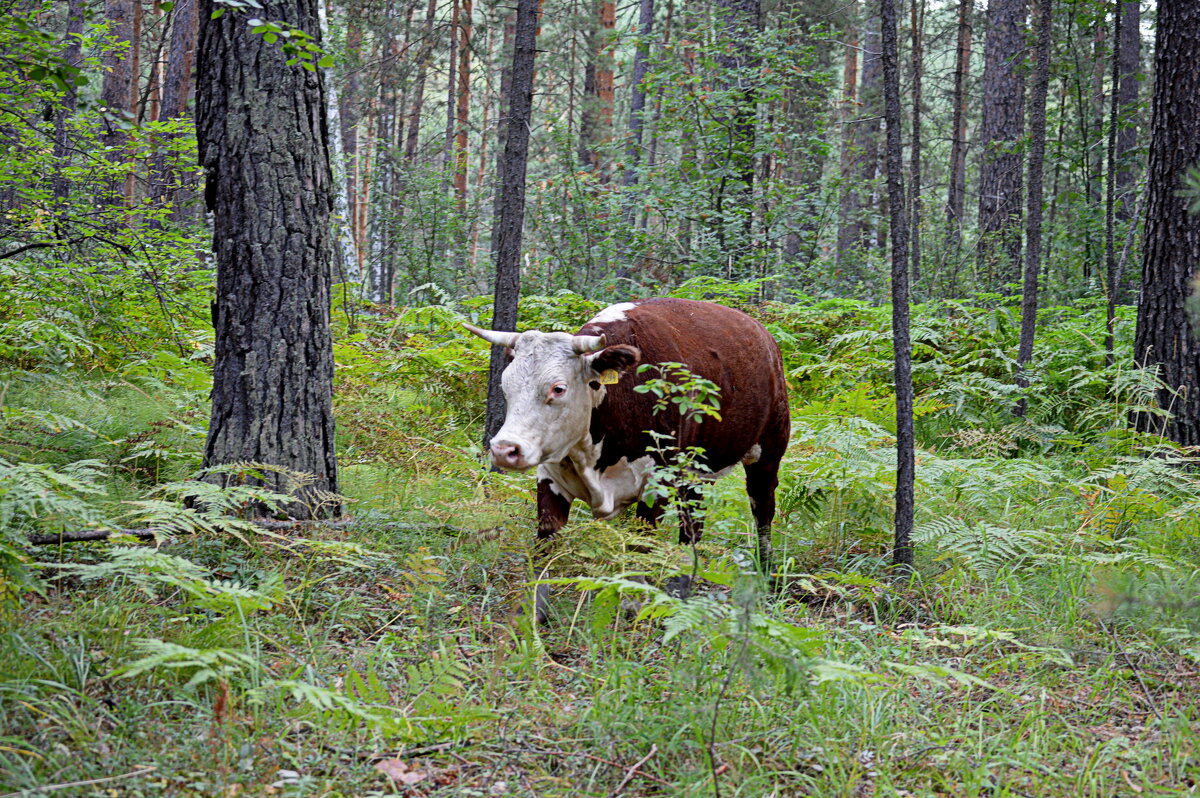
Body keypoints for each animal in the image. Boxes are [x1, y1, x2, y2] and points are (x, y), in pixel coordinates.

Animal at [463, 298, 792, 614]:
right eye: (505, 385)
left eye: (558, 388)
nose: (505, 449)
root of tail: (762, 334)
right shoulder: (550, 476)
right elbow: (546, 545)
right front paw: (528, 613)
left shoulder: (656, 483)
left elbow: (640, 547)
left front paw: (635, 603)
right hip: (696, 469)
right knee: (692, 523)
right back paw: (681, 583)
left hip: (768, 452)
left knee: (762, 510)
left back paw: (765, 572)